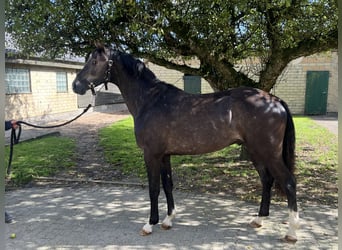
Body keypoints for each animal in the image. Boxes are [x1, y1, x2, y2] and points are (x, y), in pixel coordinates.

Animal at [72, 45, 300, 242]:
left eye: (94, 61)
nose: (76, 85)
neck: (150, 100)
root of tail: (275, 100)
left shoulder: (151, 155)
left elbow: (154, 188)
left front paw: (150, 224)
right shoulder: (164, 155)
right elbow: (168, 185)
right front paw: (168, 220)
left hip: (269, 153)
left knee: (289, 182)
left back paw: (291, 232)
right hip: (255, 151)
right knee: (267, 180)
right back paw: (259, 219)